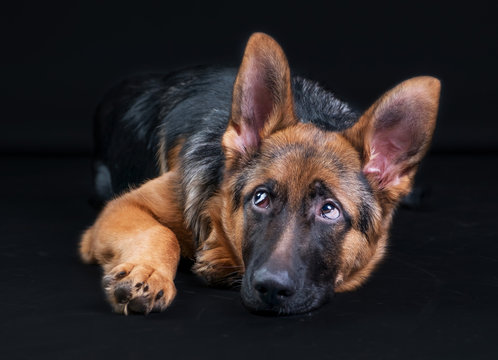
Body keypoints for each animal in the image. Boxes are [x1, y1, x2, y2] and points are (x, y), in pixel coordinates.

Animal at [80, 33, 442, 316]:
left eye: (329, 210)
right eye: (261, 198)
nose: (271, 288)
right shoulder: (120, 208)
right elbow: (161, 233)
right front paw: (149, 274)